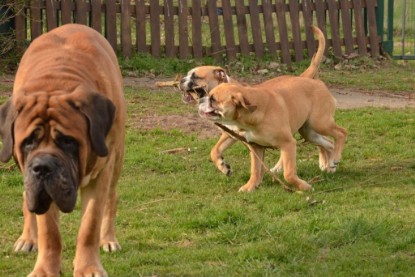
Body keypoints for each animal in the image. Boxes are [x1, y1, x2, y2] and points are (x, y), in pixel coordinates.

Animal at [0, 24, 125, 276]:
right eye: (28, 141)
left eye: (67, 141)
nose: (42, 167)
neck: (57, 83)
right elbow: (49, 230)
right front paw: (45, 269)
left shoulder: (101, 174)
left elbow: (89, 225)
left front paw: (88, 267)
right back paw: (28, 238)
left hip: (117, 157)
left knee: (112, 196)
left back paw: (108, 239)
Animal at [180, 26, 326, 177]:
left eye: (195, 76)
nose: (181, 80)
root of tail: (303, 77)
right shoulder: (230, 134)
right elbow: (215, 150)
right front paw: (223, 166)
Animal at [198, 76, 348, 191]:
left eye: (213, 99)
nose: (201, 99)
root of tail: (319, 82)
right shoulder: (256, 147)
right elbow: (255, 170)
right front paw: (250, 187)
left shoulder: (288, 144)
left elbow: (289, 174)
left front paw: (305, 187)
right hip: (309, 132)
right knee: (329, 143)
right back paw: (331, 165)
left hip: (320, 123)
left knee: (341, 132)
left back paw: (335, 158)